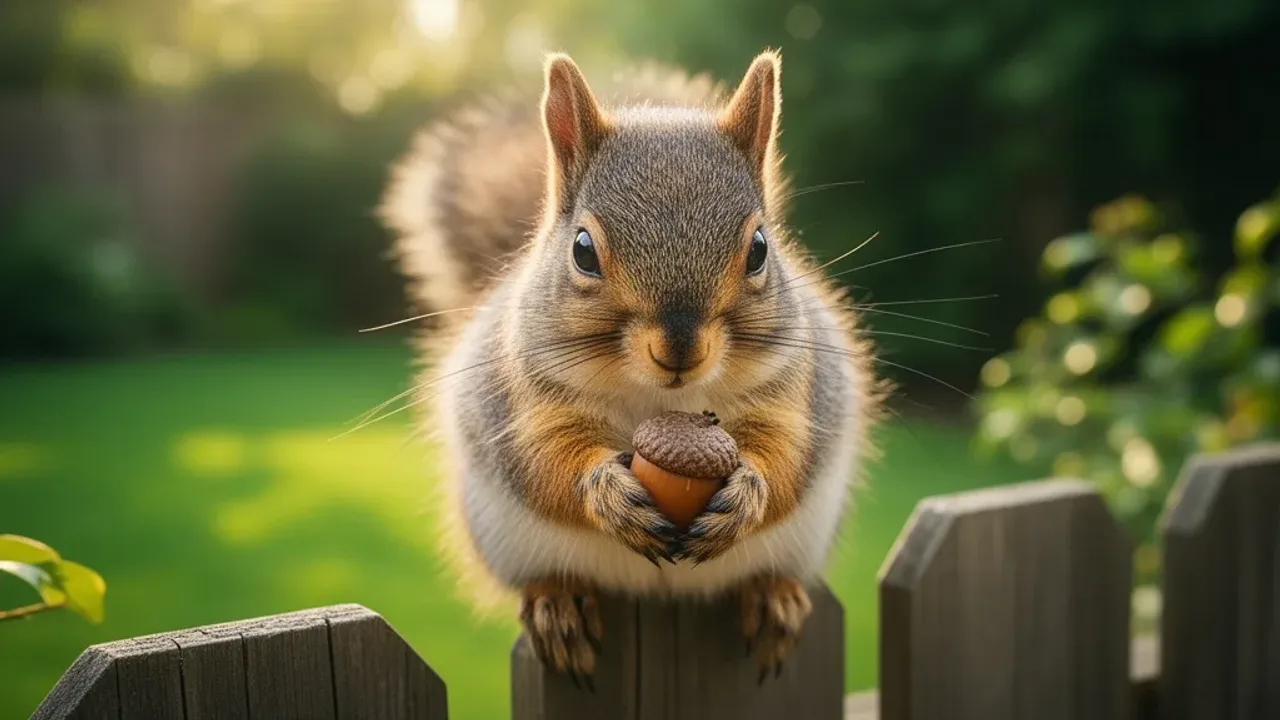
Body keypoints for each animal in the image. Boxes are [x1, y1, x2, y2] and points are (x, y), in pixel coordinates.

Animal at [379, 49, 883, 682]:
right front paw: (605, 493)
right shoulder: (520, 400)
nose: (679, 350)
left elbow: (787, 452)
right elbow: (545, 458)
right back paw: (556, 604)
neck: (664, 400)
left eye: (760, 249)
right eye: (582, 250)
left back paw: (773, 597)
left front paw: (749, 491)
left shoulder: (797, 389)